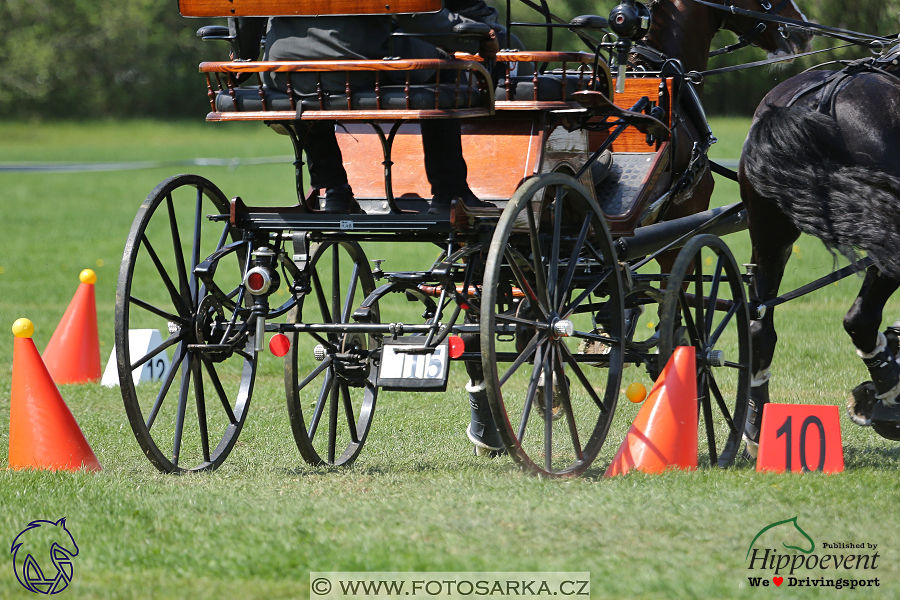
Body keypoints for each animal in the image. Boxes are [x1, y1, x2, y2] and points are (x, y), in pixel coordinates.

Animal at [740, 44, 900, 452]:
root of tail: (821, 100)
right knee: (861, 317)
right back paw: (892, 400)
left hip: (770, 237)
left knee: (759, 326)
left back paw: (756, 425)